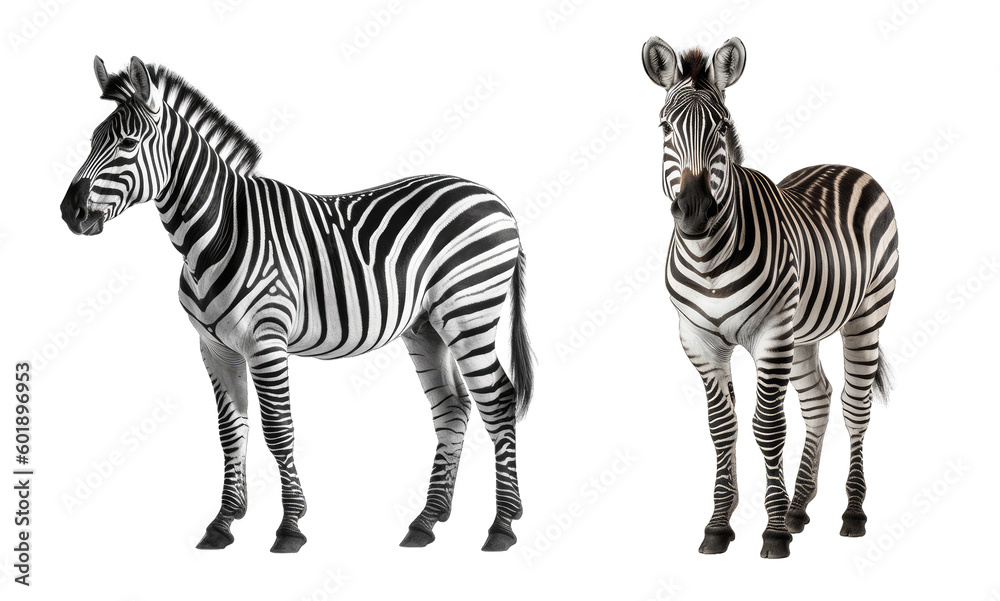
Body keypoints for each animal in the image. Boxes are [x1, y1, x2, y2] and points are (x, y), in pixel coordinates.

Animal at [60, 56, 534, 553]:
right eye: (92, 141)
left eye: (128, 143)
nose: (69, 211)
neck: (216, 232)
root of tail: (495, 199)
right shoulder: (216, 349)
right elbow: (231, 432)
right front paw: (224, 522)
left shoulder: (266, 341)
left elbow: (277, 430)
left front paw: (290, 526)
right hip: (426, 326)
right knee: (452, 408)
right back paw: (427, 521)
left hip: (469, 313)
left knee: (498, 400)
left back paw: (502, 525)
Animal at [641, 37, 899, 558]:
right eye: (664, 127)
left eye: (721, 125)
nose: (694, 213)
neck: (709, 258)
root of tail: (844, 165)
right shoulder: (698, 340)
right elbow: (723, 428)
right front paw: (719, 525)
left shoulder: (770, 335)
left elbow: (768, 428)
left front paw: (773, 531)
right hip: (803, 333)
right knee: (818, 400)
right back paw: (800, 508)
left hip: (865, 317)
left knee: (854, 407)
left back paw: (852, 514)